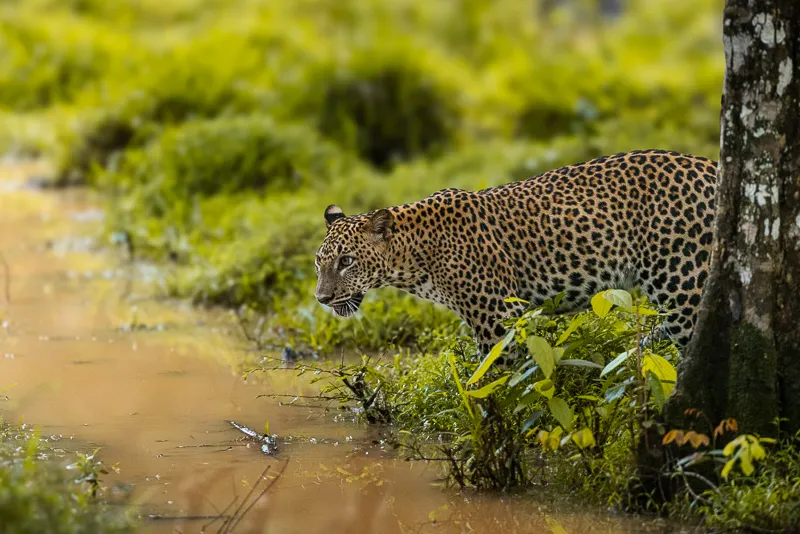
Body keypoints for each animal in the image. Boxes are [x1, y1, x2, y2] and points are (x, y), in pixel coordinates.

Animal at [313, 149, 717, 355]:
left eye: (347, 262)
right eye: (319, 263)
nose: (321, 298)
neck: (414, 257)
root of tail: (711, 164)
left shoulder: (495, 318)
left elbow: (494, 382)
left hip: (682, 285)